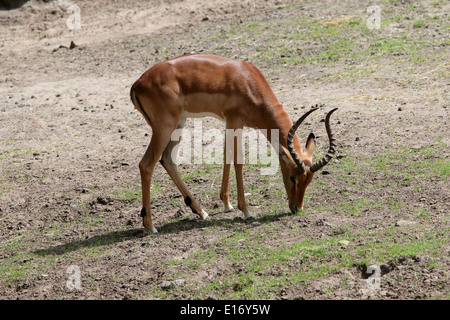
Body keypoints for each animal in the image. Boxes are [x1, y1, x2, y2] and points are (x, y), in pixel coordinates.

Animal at [128, 53, 336, 234]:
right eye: (293, 177)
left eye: (309, 180)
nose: (297, 208)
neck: (248, 81)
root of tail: (137, 84)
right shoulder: (235, 121)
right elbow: (238, 161)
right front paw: (246, 211)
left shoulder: (229, 123)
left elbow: (226, 156)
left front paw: (227, 204)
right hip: (164, 128)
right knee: (146, 164)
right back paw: (151, 226)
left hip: (178, 125)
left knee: (167, 160)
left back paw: (201, 212)